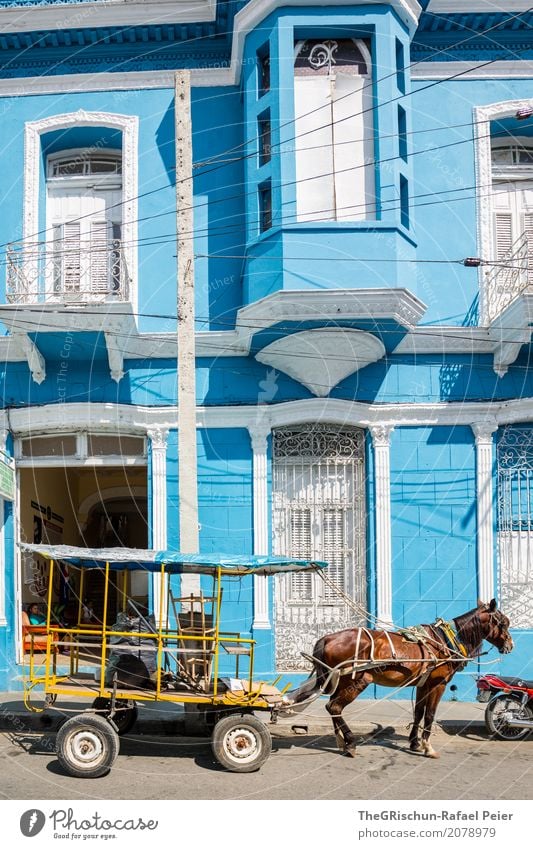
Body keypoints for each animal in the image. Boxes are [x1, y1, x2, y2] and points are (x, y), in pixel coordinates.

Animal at [290, 600, 512, 760]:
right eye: (503, 623)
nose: (511, 645)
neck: (445, 641)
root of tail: (327, 638)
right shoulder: (438, 684)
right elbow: (430, 715)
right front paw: (428, 747)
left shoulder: (423, 684)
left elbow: (418, 712)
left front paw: (415, 743)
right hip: (357, 680)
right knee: (334, 707)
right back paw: (351, 743)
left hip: (341, 680)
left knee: (332, 706)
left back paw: (341, 743)